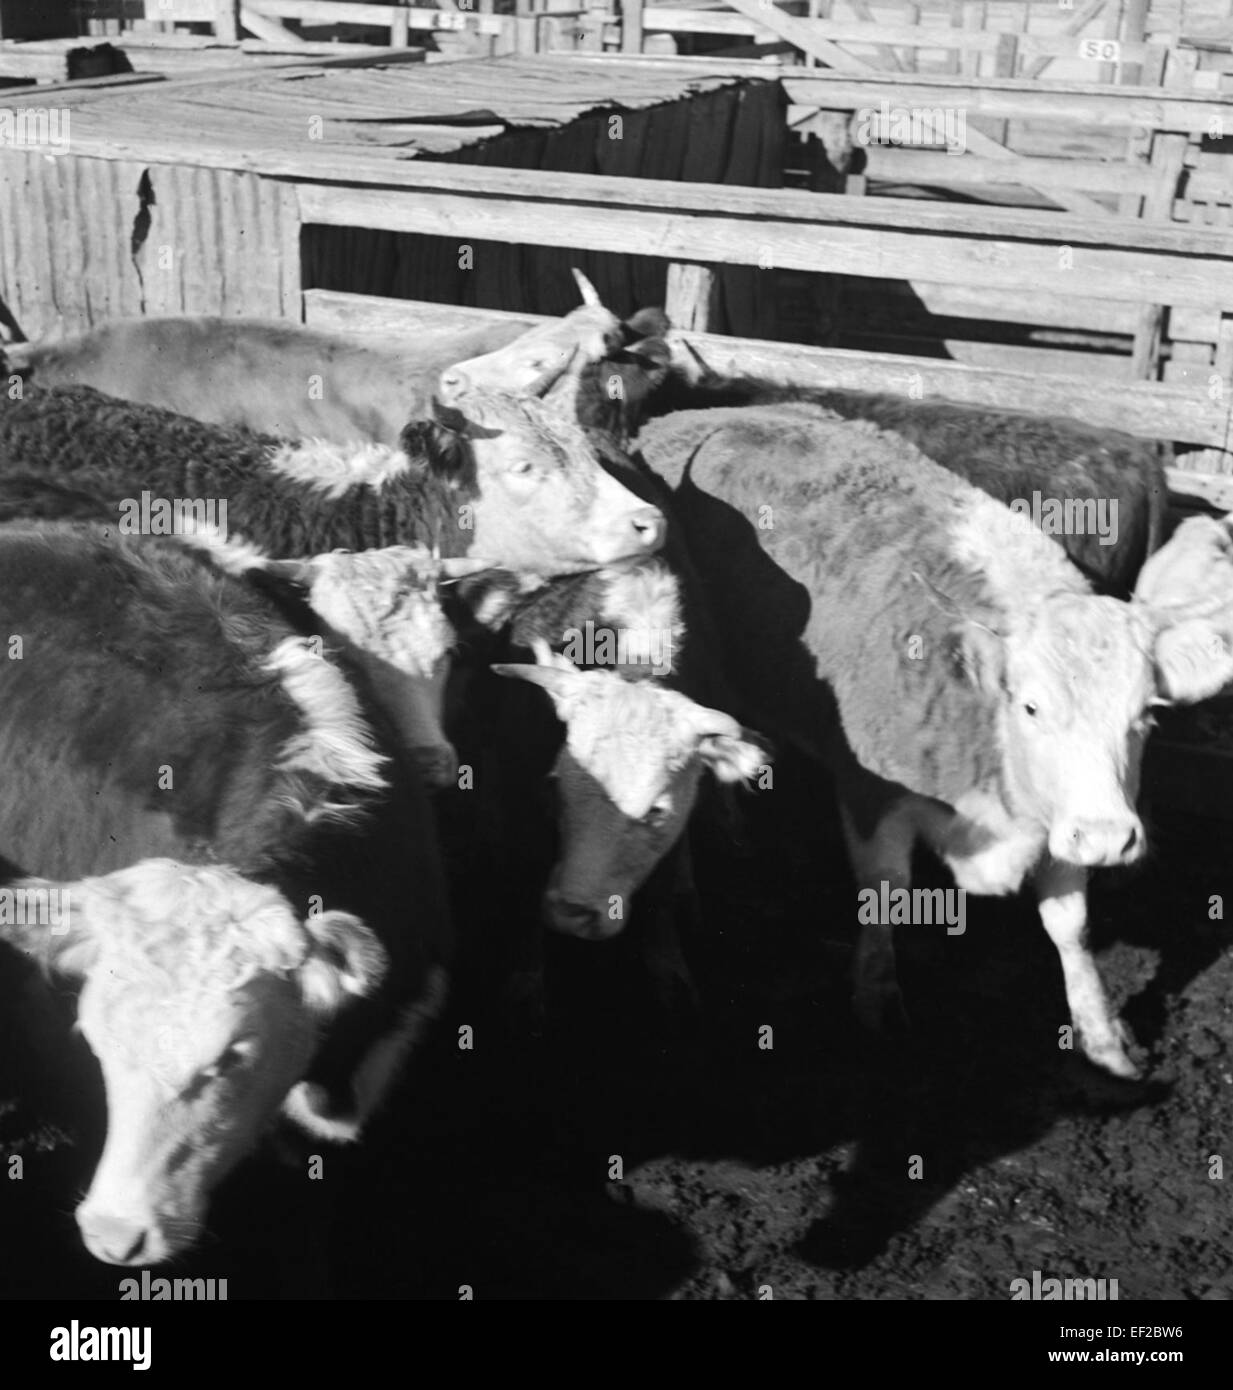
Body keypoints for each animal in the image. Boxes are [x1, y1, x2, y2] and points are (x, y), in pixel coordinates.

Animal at [617, 405, 1233, 1078]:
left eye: (1145, 715)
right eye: (1030, 706)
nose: (1107, 840)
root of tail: (684, 416)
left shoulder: (1066, 816)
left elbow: (1072, 927)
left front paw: (1101, 1034)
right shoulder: (870, 793)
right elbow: (885, 893)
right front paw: (878, 1001)